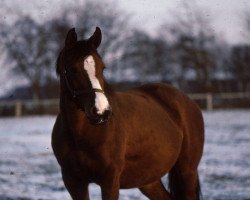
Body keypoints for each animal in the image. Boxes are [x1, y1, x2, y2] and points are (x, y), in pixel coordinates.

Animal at [51, 27, 204, 200]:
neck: (81, 135)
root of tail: (188, 101)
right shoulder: (74, 182)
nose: (101, 111)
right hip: (148, 180)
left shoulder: (110, 181)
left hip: (187, 171)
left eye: (103, 68)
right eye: (72, 69)